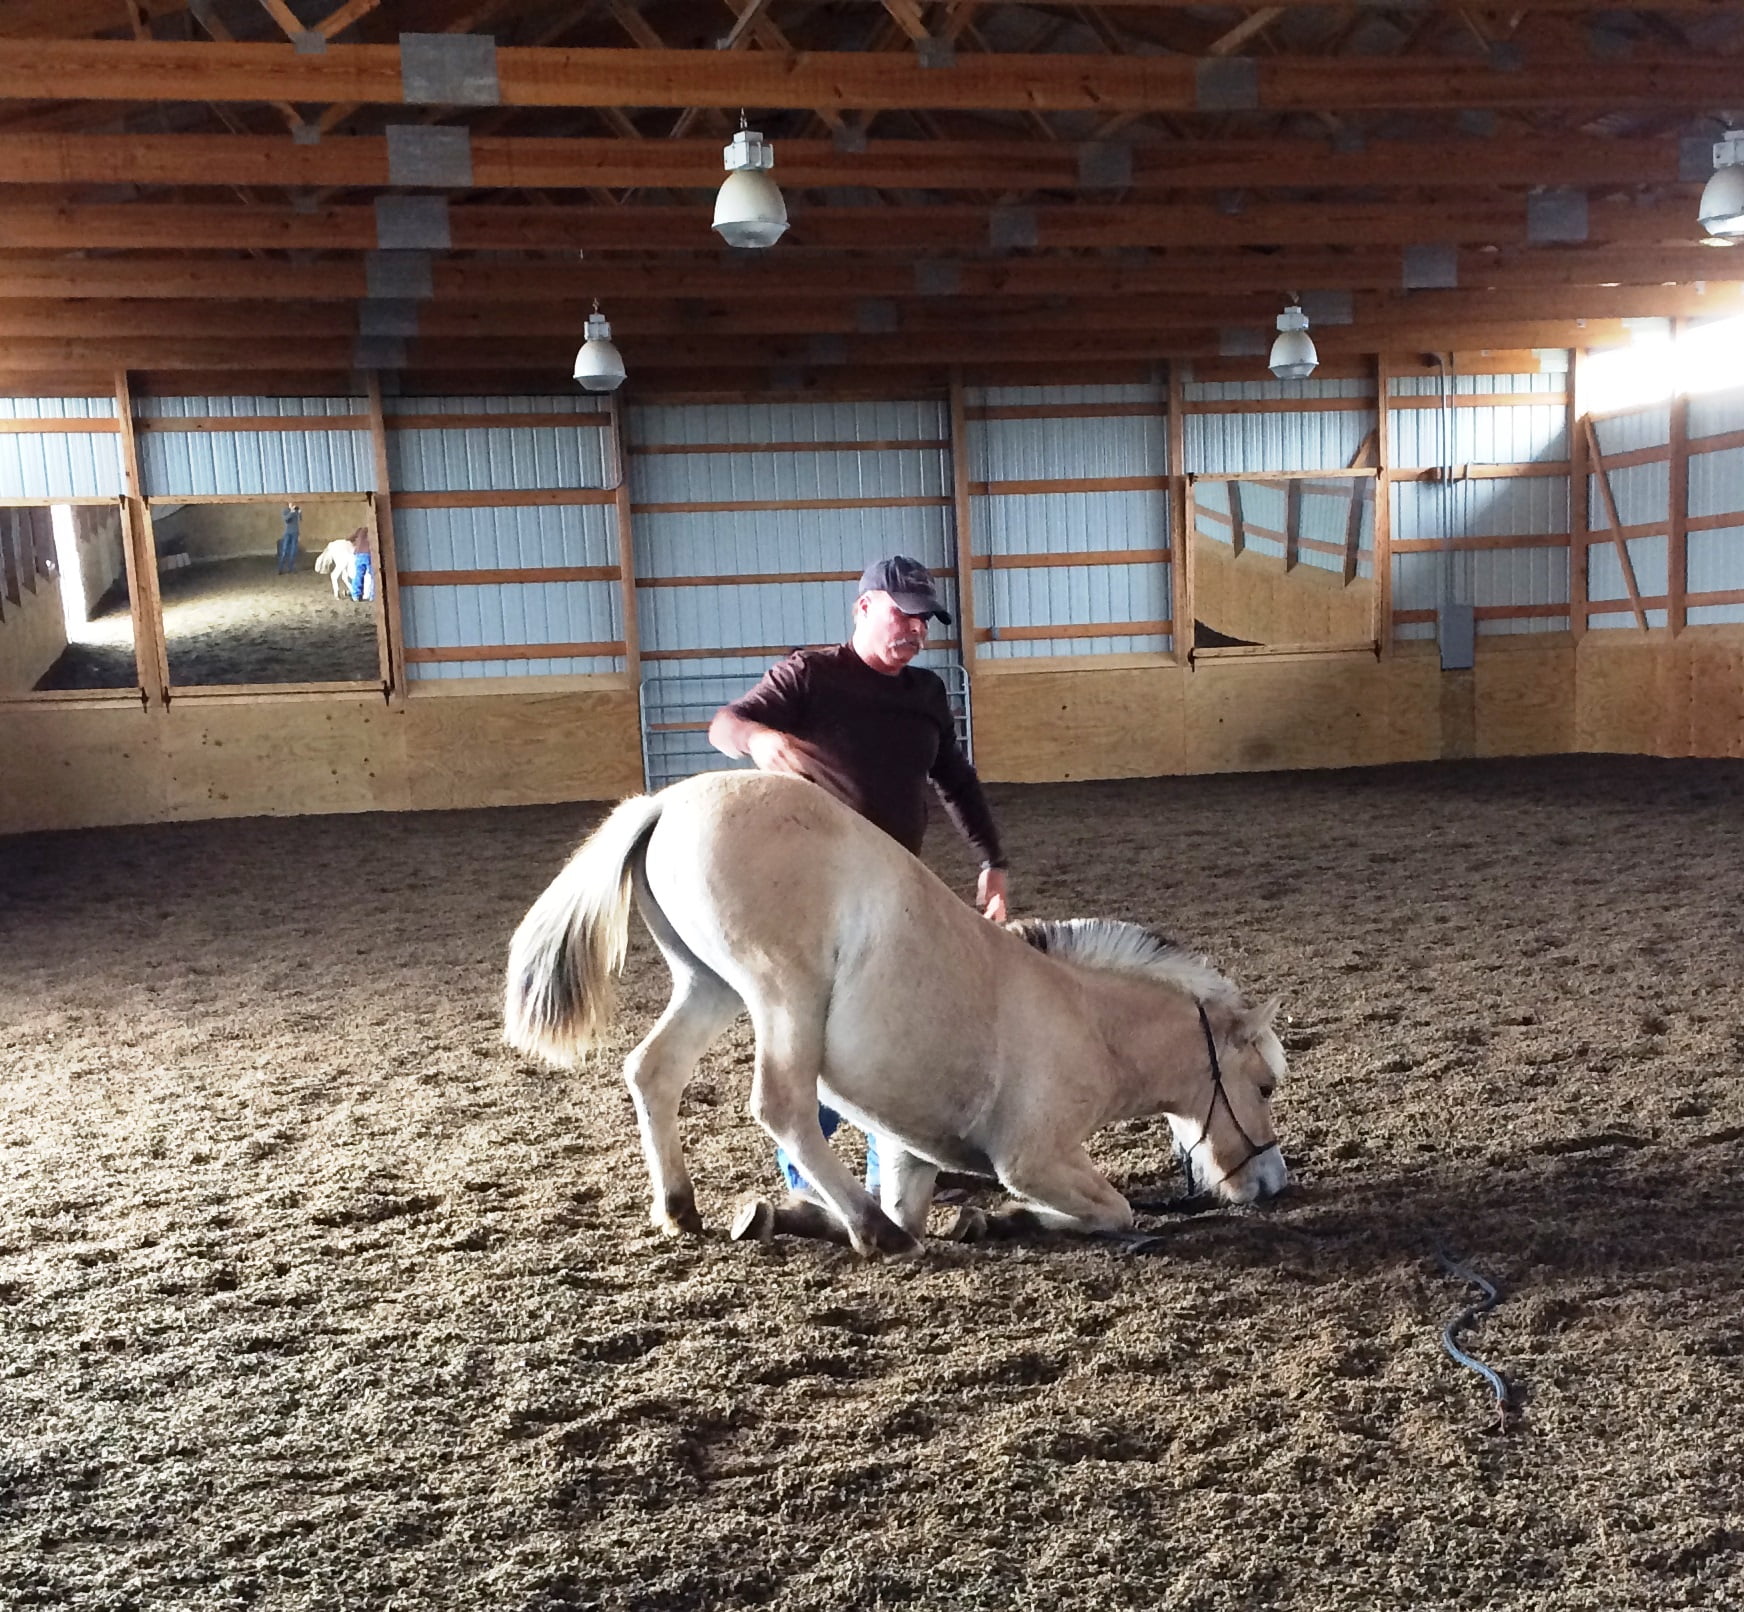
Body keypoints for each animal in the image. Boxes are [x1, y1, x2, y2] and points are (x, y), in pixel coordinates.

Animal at [498, 771, 1290, 1256]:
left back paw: (682, 1208)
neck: (1088, 1023)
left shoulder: (911, 1153)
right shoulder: (1034, 1158)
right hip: (782, 992)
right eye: (1264, 1086)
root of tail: (667, 802)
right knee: (782, 1105)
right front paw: (998, 1217)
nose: (1272, 1183)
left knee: (653, 1073)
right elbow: (1111, 1210)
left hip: (709, 984)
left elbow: (915, 1197)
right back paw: (873, 1231)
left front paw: (790, 1216)